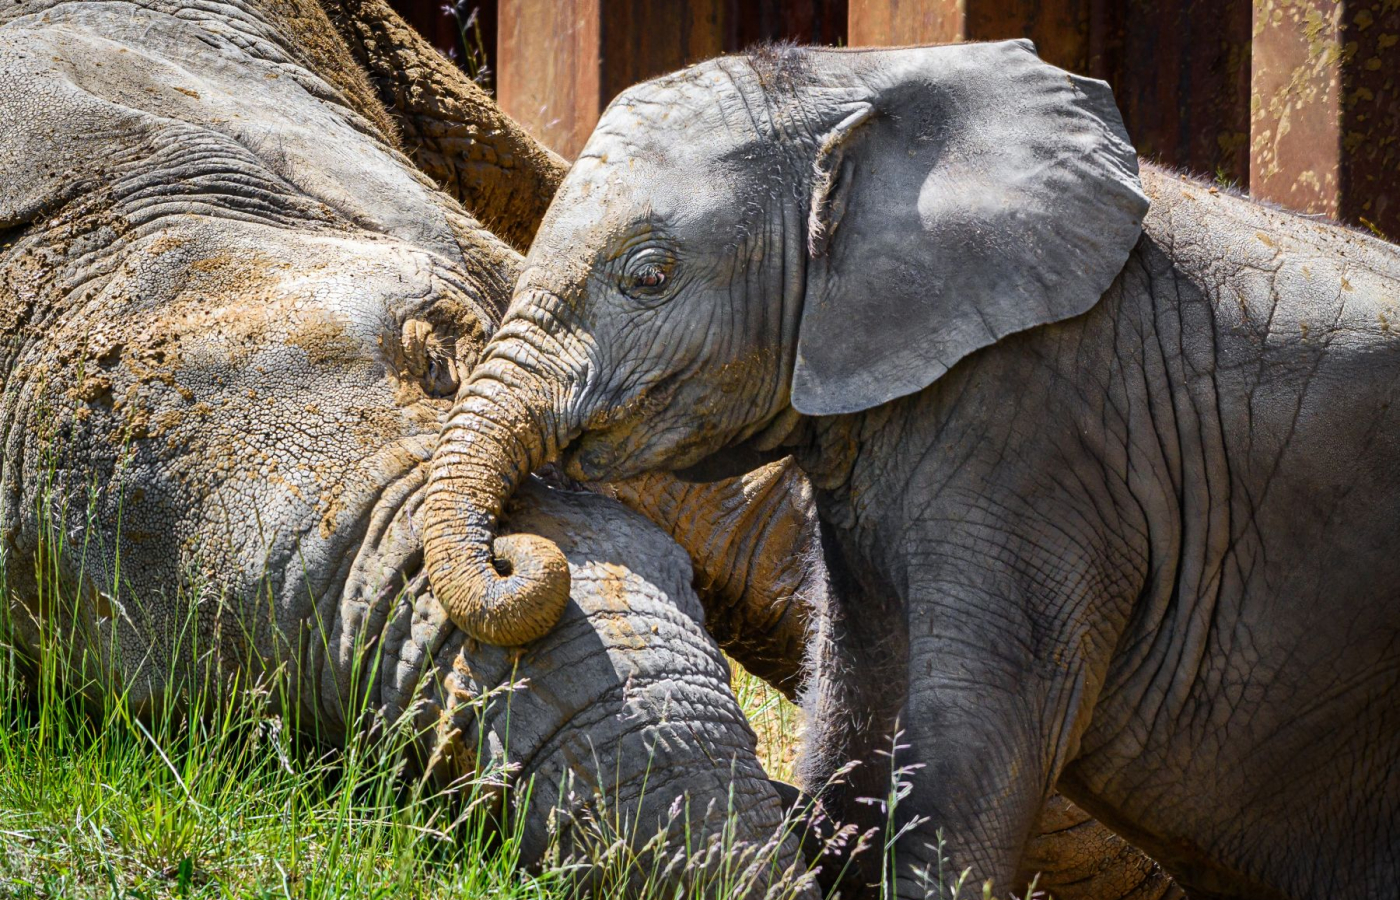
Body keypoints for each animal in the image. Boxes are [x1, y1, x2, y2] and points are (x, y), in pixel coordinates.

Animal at [422, 36, 1400, 900]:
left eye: (650, 276)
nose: (518, 550)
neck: (862, 80)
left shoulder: (1043, 430)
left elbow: (976, 730)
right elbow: (858, 685)